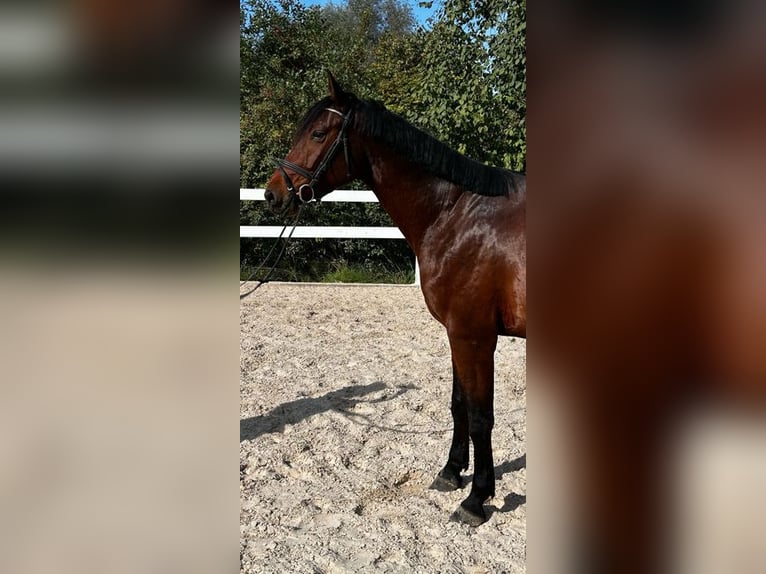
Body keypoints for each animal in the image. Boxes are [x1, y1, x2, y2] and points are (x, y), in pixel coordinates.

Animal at [266, 72, 528, 528]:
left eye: (317, 133)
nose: (273, 193)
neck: (457, 216)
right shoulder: (457, 336)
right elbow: (459, 405)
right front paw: (450, 473)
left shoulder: (474, 337)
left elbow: (480, 417)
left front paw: (476, 498)